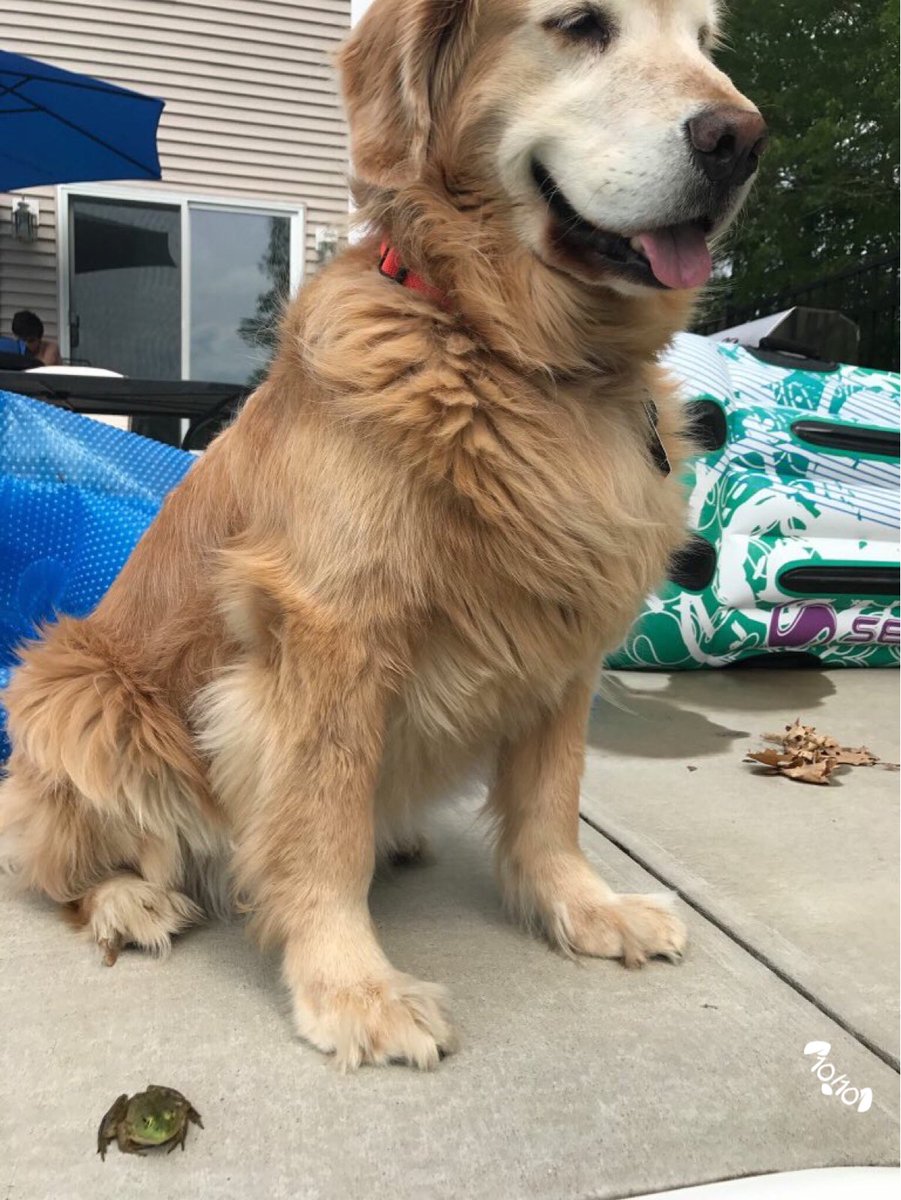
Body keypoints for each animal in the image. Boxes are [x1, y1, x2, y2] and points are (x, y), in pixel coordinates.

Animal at [0, 0, 764, 1069]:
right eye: (579, 25)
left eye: (706, 45)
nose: (741, 140)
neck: (516, 358)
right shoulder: (329, 633)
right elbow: (320, 823)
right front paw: (349, 985)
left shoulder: (566, 632)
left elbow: (549, 801)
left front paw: (582, 908)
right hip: (76, 690)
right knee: (52, 862)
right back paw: (127, 902)